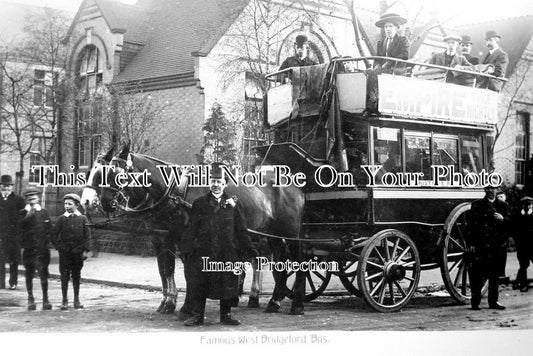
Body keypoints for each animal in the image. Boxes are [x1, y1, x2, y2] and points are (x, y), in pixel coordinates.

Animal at [81, 144, 310, 314]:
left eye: (114, 173)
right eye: (92, 172)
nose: (91, 202)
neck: (174, 191)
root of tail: (293, 183)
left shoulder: (186, 239)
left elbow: (189, 271)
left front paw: (186, 305)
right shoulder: (161, 238)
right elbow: (166, 269)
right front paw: (168, 302)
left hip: (290, 233)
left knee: (296, 261)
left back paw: (296, 304)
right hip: (271, 234)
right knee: (275, 262)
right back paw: (274, 301)